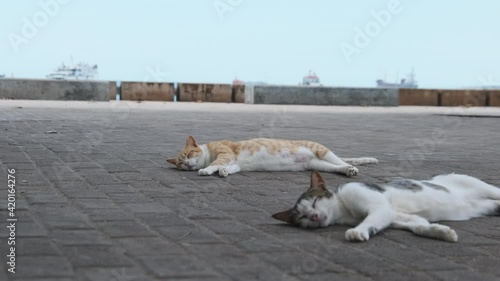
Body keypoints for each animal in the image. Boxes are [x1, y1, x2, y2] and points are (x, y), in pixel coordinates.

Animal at [274, 170, 500, 242]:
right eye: (302, 217)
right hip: (489, 206)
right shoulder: (396, 217)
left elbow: (369, 221)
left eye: (314, 202)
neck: (346, 212)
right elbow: (419, 226)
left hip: (482, 187)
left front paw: (358, 231)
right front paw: (441, 232)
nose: (313, 216)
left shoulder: (379, 207)